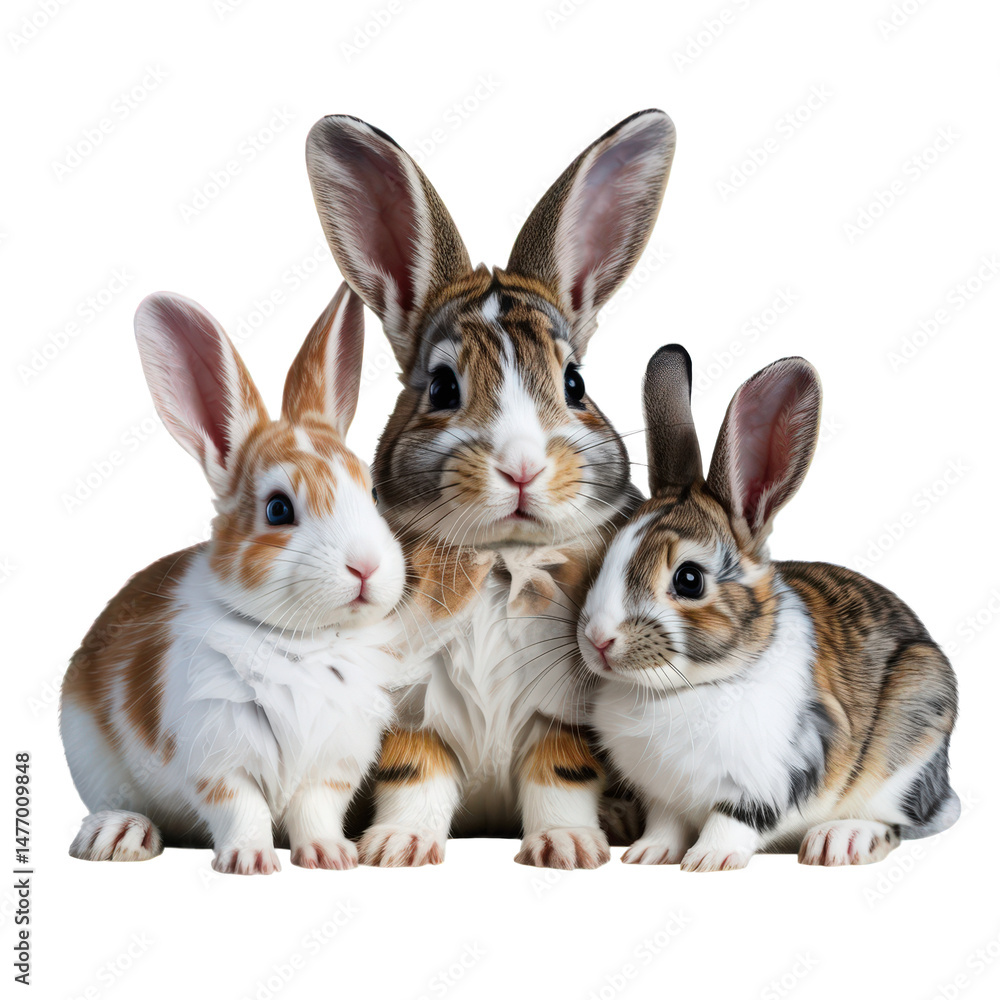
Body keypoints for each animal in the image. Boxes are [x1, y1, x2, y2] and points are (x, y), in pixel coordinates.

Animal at [60, 282, 406, 874]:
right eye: (277, 509)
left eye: (373, 492)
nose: (366, 566)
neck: (306, 642)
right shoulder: (218, 758)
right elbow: (239, 807)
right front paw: (250, 861)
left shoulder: (332, 765)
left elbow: (315, 808)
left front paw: (330, 856)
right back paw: (119, 834)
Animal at [304, 110, 676, 867]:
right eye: (443, 386)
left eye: (575, 383)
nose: (522, 467)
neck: (502, 562)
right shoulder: (410, 705)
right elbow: (415, 773)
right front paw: (397, 847)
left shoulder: (565, 712)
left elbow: (559, 774)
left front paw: (568, 847)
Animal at [578, 345, 960, 870]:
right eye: (607, 555)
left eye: (689, 580)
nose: (598, 640)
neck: (685, 689)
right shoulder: (663, 797)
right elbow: (666, 823)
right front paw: (648, 854)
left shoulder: (773, 778)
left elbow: (732, 821)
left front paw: (707, 861)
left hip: (915, 726)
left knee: (897, 820)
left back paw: (839, 840)